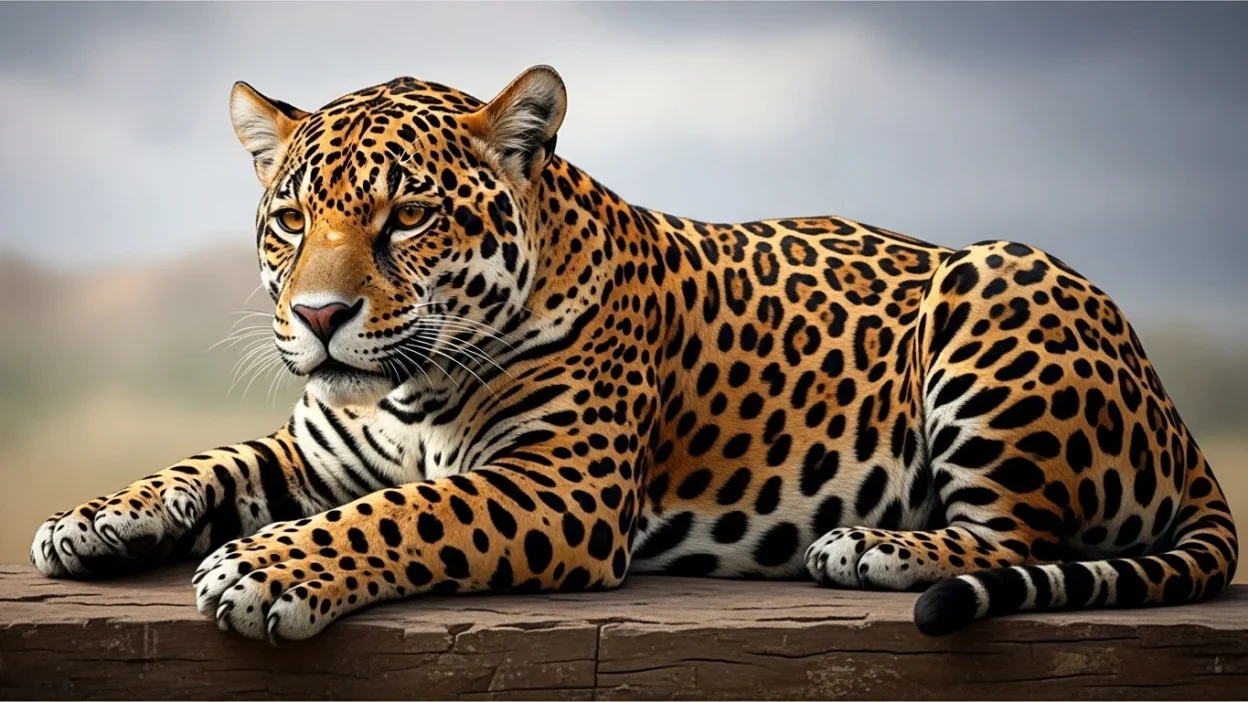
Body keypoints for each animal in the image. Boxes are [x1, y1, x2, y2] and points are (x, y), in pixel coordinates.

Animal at [31, 65, 1238, 642]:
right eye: (290, 220)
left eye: (408, 217)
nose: (320, 315)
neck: (405, 396)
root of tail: (1181, 428)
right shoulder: (321, 450)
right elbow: (213, 463)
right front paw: (91, 520)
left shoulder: (555, 484)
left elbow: (401, 514)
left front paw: (266, 571)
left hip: (1001, 280)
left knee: (1020, 532)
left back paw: (875, 548)